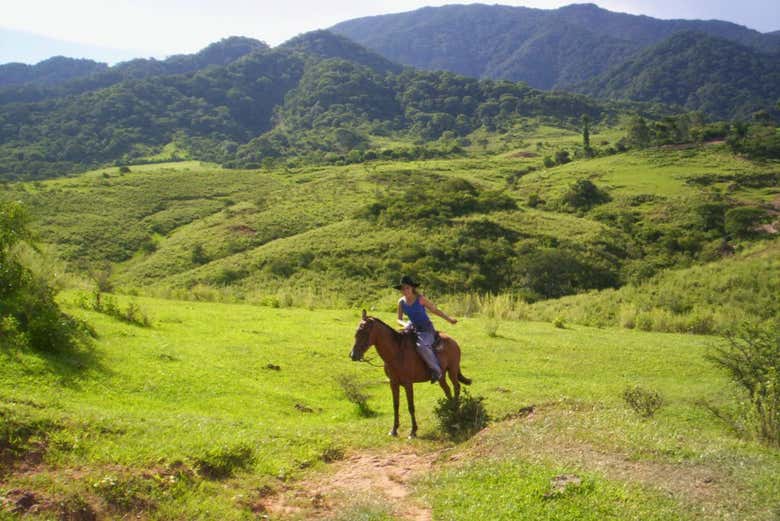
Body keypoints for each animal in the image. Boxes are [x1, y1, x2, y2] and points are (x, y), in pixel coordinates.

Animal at [350, 309, 472, 438]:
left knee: (456, 387)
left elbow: (411, 406)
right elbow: (396, 405)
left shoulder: (408, 384)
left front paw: (413, 431)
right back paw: (450, 409)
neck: (396, 352)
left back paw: (456, 409)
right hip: (441, 375)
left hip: (452, 370)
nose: (353, 355)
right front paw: (394, 429)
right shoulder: (393, 383)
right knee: (447, 389)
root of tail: (452, 341)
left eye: (364, 332)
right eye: (356, 332)